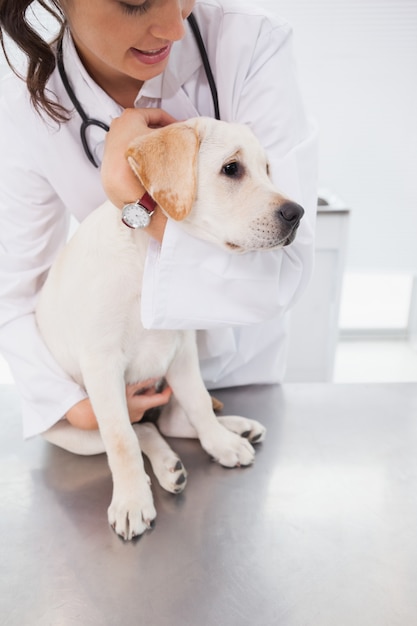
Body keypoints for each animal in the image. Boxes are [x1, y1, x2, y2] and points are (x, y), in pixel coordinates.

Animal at [35, 117, 302, 536]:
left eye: (268, 169)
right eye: (232, 169)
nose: (298, 213)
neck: (146, 252)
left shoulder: (182, 350)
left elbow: (199, 404)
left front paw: (221, 444)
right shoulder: (101, 365)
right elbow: (122, 438)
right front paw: (131, 500)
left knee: (174, 420)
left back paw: (233, 430)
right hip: (76, 431)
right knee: (143, 429)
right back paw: (165, 467)